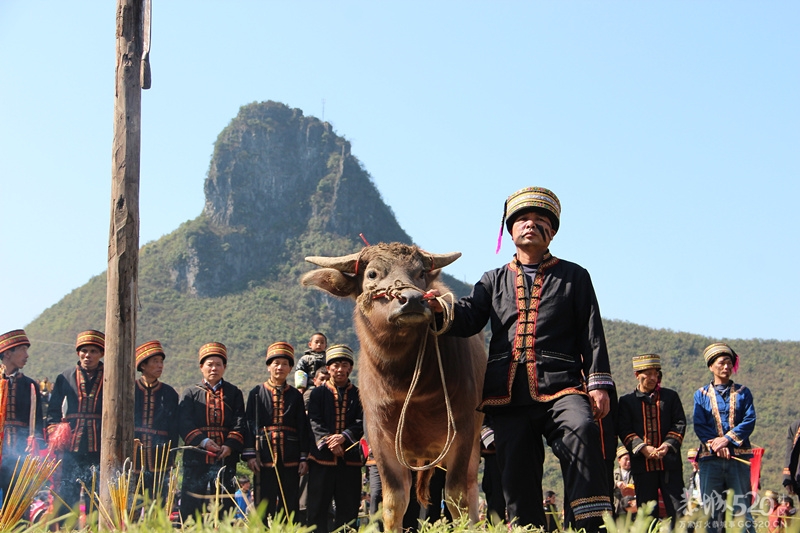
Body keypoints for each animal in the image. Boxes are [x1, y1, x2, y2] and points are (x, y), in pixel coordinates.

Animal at [302, 243, 484, 528]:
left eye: (420, 272)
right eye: (372, 274)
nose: (412, 299)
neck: (409, 386)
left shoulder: (463, 431)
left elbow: (457, 497)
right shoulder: (380, 440)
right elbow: (394, 502)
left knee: (471, 489)